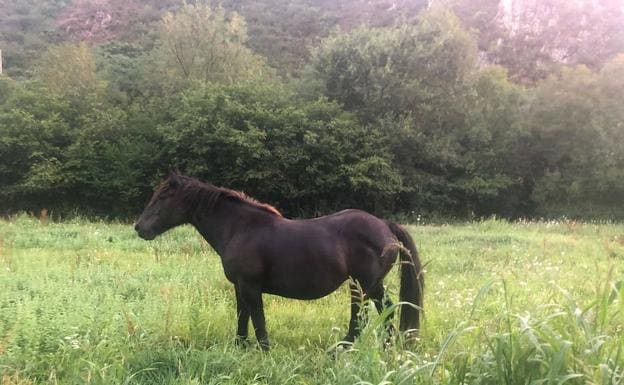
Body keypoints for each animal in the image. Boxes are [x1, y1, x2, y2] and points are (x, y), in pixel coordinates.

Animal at [133, 173, 422, 348]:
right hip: (361, 284)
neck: (240, 228)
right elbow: (242, 316)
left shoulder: (250, 286)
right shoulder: (239, 286)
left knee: (380, 311)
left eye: (163, 197)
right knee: (368, 313)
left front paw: (263, 349)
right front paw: (240, 346)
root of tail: (384, 225)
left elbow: (257, 318)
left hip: (367, 284)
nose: (139, 227)